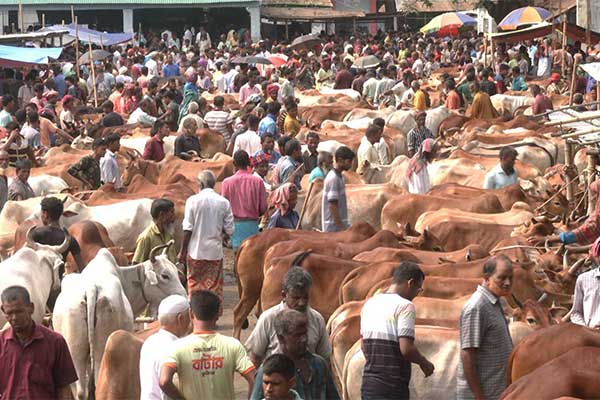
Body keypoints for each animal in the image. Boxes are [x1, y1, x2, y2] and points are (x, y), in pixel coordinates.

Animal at [53, 245, 186, 399]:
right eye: (165, 275)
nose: (184, 297)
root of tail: (91, 289)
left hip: (74, 351)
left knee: (80, 390)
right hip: (101, 350)